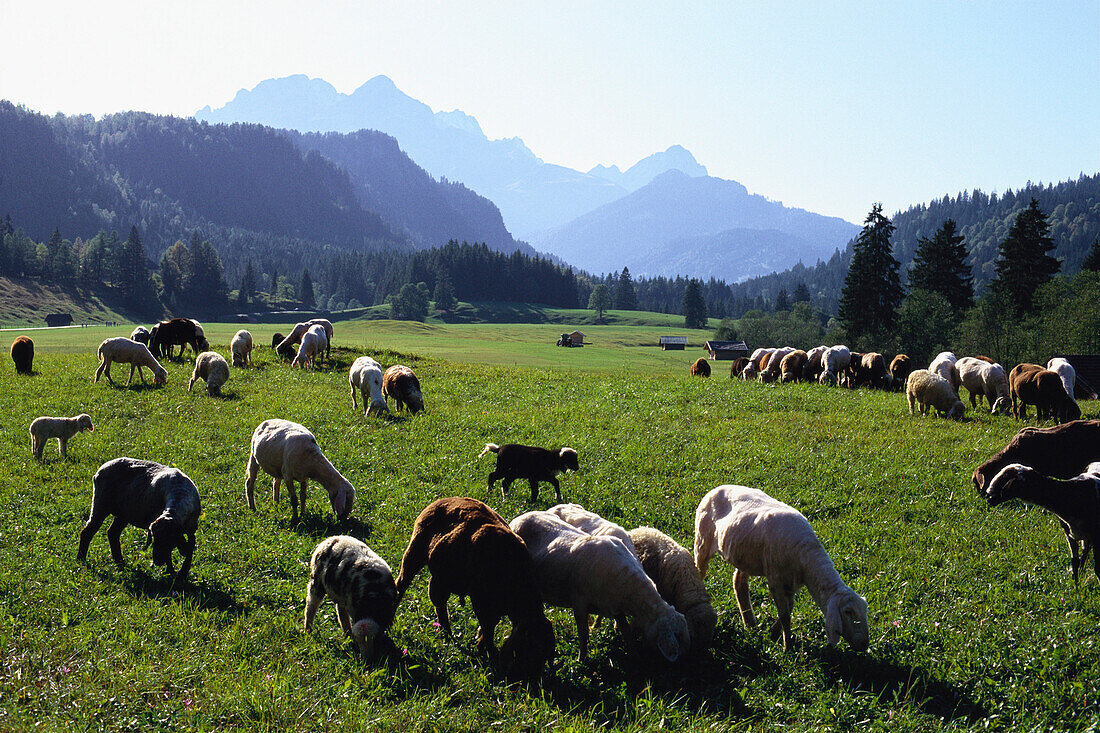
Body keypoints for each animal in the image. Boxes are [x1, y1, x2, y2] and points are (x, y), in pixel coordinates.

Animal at [391, 493, 554, 677]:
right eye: (529, 650)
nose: (530, 679)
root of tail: (443, 499)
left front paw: (482, 644)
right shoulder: (481, 599)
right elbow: (489, 626)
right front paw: (487, 650)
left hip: (441, 573)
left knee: (438, 599)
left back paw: (445, 632)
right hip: (415, 551)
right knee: (402, 585)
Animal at [508, 508, 686, 660]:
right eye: (677, 636)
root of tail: (521, 516)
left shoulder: (615, 608)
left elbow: (626, 631)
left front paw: (634, 655)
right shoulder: (579, 601)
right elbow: (583, 634)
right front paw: (582, 660)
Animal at [695, 482, 866, 647]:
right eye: (848, 612)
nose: (864, 645)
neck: (807, 554)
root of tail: (718, 487)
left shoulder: (791, 581)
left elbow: (789, 607)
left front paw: (775, 633)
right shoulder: (776, 579)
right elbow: (784, 613)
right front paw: (787, 645)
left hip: (744, 554)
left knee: (739, 582)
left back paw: (749, 623)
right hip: (702, 541)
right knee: (700, 570)